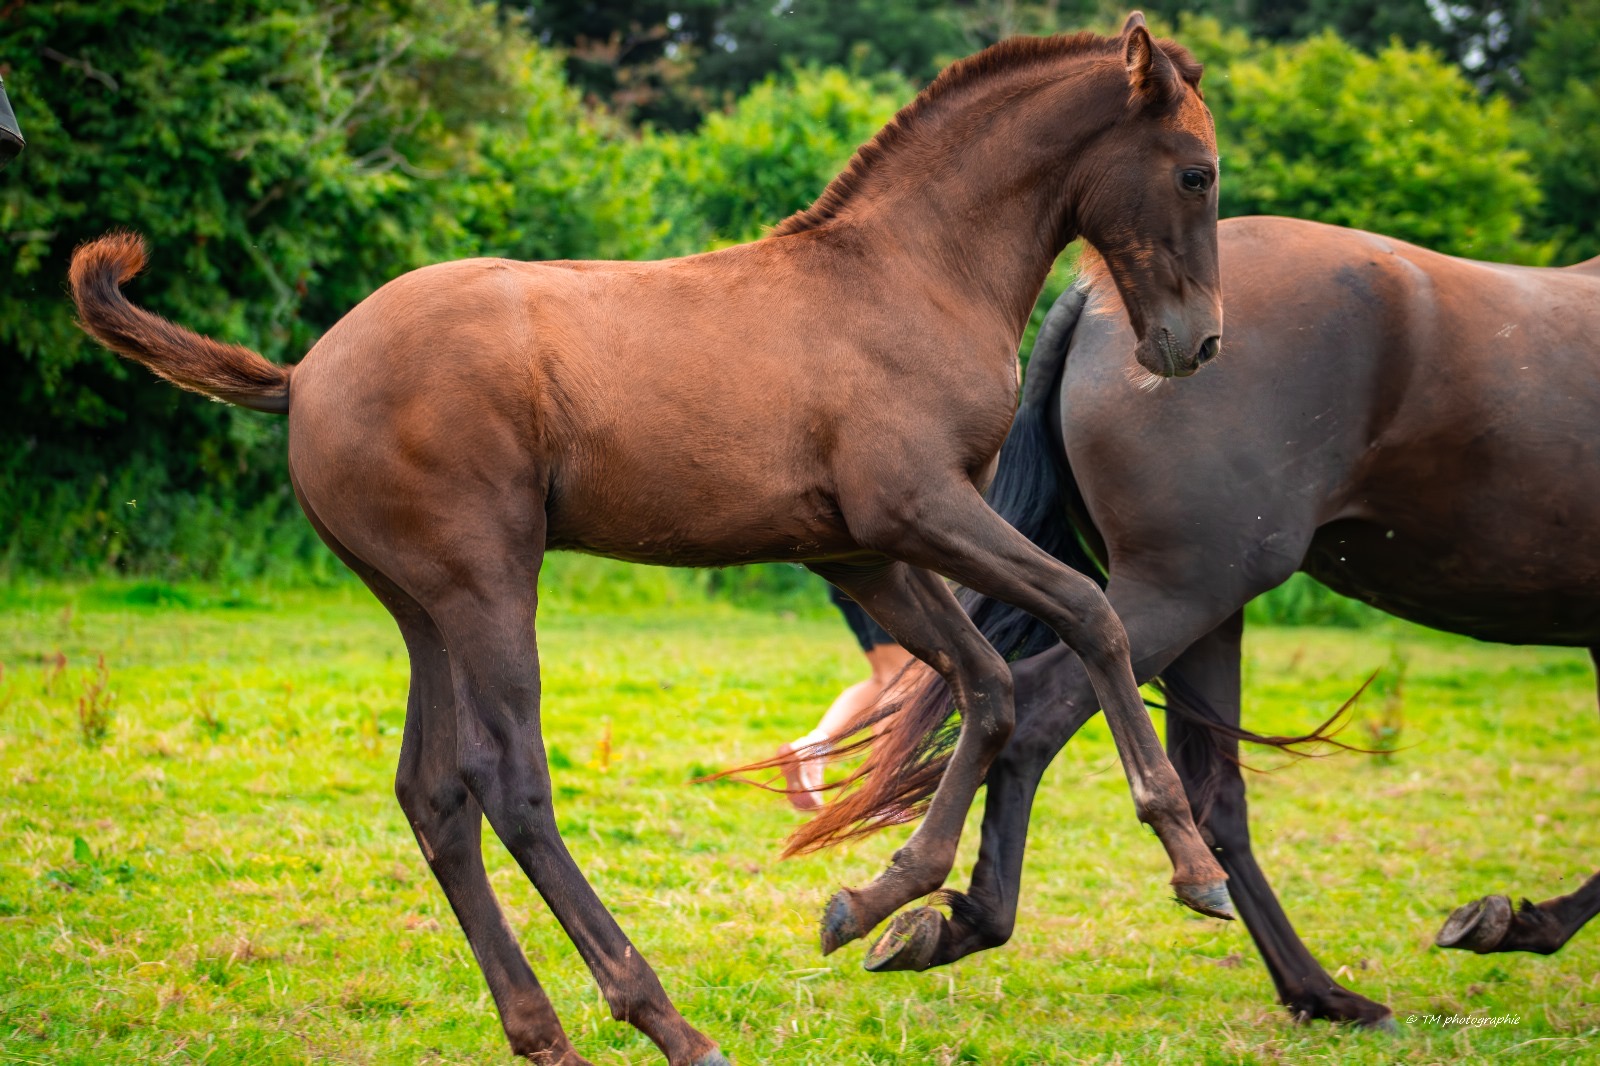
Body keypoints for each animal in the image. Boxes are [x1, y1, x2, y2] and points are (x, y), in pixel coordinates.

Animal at [68, 18, 1222, 1062]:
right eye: (1196, 173)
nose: (1196, 344)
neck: (909, 273)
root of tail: (304, 375)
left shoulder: (861, 549)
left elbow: (985, 682)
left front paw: (879, 901)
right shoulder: (917, 511)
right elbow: (1088, 616)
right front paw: (1189, 860)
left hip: (422, 608)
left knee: (433, 796)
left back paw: (544, 1036)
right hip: (490, 585)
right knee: (511, 785)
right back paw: (665, 1020)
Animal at [800, 214, 1600, 1024]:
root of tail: (1089, 301)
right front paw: (1518, 923)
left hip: (1205, 616)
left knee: (1212, 797)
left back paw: (1318, 991)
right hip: (1182, 596)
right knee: (1036, 714)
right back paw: (967, 921)